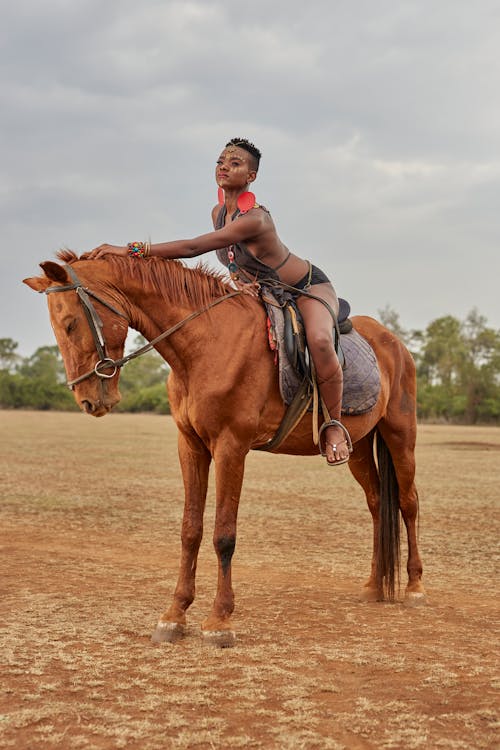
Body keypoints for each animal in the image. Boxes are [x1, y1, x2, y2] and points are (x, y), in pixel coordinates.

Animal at [24, 251, 426, 648]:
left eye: (70, 323)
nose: (88, 400)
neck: (205, 342)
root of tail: (394, 342)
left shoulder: (232, 446)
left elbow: (224, 534)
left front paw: (219, 621)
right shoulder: (190, 445)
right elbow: (190, 530)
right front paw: (174, 615)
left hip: (400, 434)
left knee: (408, 503)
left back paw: (414, 586)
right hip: (357, 447)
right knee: (377, 503)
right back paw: (374, 585)